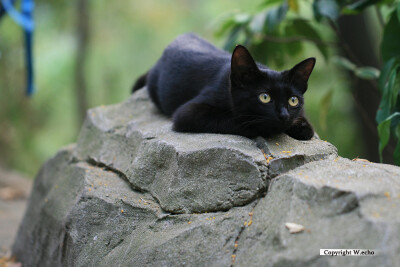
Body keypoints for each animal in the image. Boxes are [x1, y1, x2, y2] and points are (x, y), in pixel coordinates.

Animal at [134, 33, 316, 140]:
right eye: (265, 97)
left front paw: (302, 126)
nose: (284, 115)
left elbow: (306, 123)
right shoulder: (187, 112)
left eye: (293, 100)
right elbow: (231, 119)